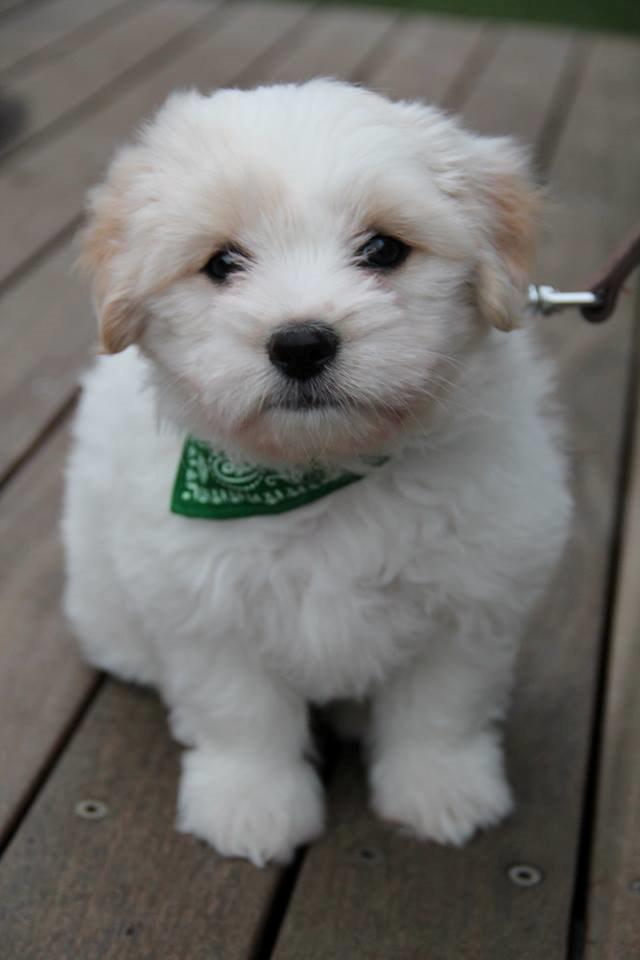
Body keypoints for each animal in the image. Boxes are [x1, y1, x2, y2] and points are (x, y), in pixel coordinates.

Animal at [63, 79, 568, 868]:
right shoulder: (203, 603)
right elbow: (241, 713)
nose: (301, 343)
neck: (319, 474)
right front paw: (253, 804)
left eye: (384, 249)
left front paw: (441, 790)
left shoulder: (472, 594)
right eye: (222, 263)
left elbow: (442, 707)